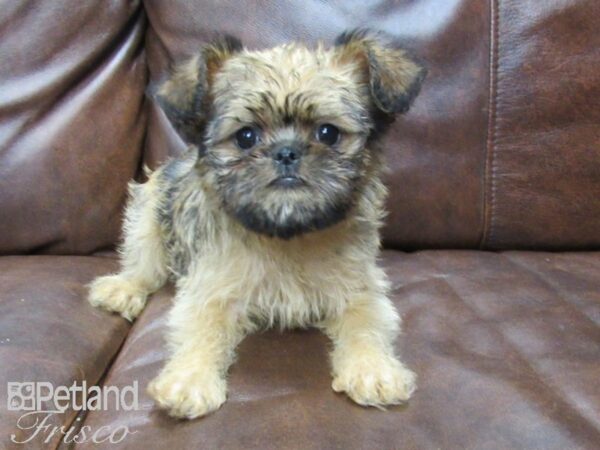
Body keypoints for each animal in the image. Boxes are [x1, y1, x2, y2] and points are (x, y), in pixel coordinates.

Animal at [89, 30, 426, 418]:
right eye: (246, 136)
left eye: (328, 133)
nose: (286, 152)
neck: (287, 236)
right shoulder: (210, 288)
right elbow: (201, 331)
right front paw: (190, 379)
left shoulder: (360, 289)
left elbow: (366, 326)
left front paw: (373, 369)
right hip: (147, 211)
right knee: (143, 265)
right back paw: (123, 289)